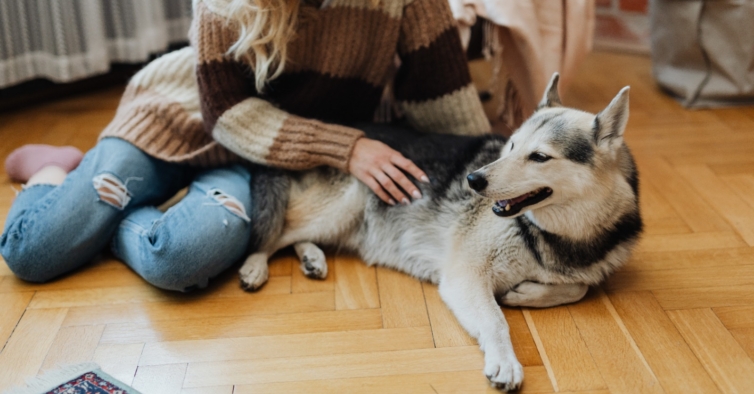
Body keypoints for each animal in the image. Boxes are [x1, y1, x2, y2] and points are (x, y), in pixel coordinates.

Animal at [236, 74, 640, 390]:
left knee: (296, 234)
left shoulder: (579, 269)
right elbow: (495, 322)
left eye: (539, 157)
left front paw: (526, 292)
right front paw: (505, 360)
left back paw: (311, 257)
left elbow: (579, 287)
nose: (473, 180)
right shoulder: (465, 276)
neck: (556, 236)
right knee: (276, 233)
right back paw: (256, 266)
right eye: (511, 146)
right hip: (341, 206)